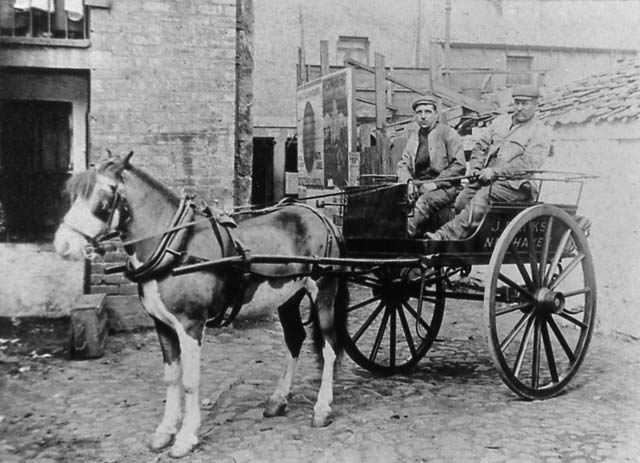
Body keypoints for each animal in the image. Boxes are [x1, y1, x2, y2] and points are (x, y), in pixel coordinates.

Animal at [53, 153, 348, 460]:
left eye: (102, 196)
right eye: (75, 194)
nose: (62, 244)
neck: (174, 248)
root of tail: (318, 215)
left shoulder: (190, 325)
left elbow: (190, 381)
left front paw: (186, 437)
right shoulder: (162, 326)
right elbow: (171, 377)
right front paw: (165, 431)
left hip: (324, 290)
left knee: (329, 346)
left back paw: (322, 409)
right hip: (288, 297)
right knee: (294, 339)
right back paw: (278, 400)